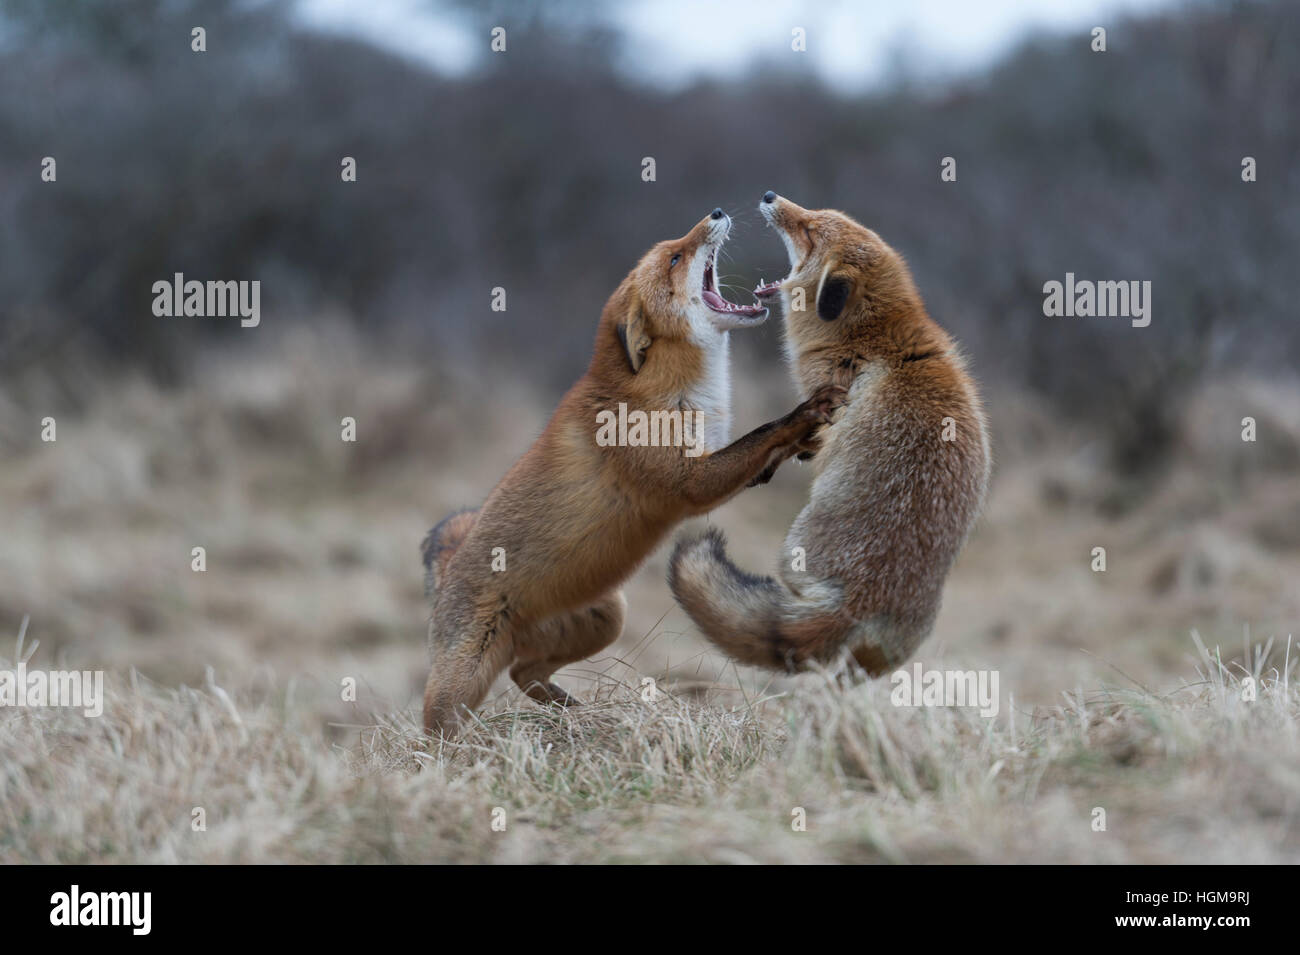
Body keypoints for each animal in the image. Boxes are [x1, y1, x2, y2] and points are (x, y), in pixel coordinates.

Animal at [421, 207, 845, 736]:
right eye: (676, 258)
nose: (717, 211)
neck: (675, 394)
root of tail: (448, 569)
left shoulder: (715, 461)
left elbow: (762, 452)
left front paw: (811, 438)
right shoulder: (690, 483)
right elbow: (761, 434)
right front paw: (803, 414)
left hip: (608, 617)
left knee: (524, 671)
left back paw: (574, 714)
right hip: (461, 682)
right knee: (438, 720)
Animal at [668, 192, 990, 677]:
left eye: (809, 231)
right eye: (815, 217)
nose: (769, 196)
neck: (869, 338)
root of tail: (860, 600)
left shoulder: (824, 397)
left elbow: (802, 436)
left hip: (795, 548)